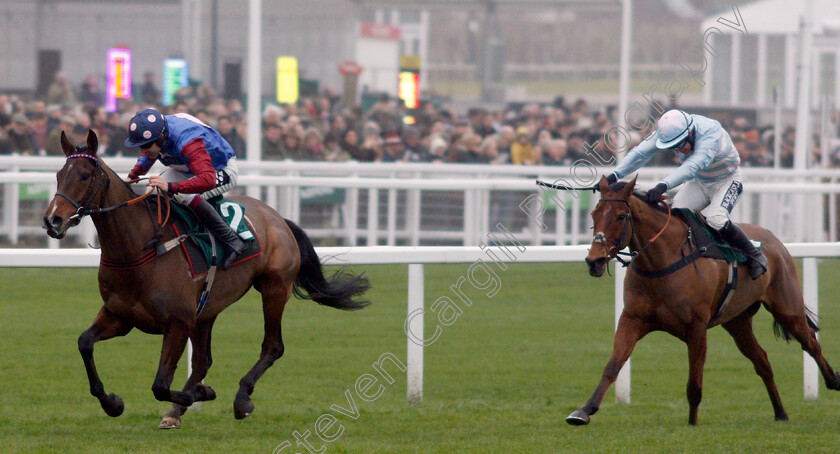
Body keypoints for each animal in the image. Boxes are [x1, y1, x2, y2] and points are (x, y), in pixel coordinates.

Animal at [44, 129, 370, 428]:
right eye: (59, 174)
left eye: (85, 175)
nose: (52, 220)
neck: (138, 248)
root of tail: (277, 217)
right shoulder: (120, 315)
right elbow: (85, 342)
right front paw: (112, 402)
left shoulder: (177, 322)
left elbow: (160, 385)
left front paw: (201, 394)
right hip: (207, 308)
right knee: (203, 360)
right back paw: (177, 412)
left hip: (274, 288)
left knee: (272, 347)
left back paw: (241, 399)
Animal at [568, 176, 836, 426]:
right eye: (594, 214)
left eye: (621, 216)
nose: (594, 260)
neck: (662, 262)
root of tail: (774, 240)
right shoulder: (632, 319)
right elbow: (613, 366)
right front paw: (583, 411)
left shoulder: (696, 327)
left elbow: (694, 383)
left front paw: (692, 424)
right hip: (737, 322)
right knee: (762, 361)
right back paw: (780, 413)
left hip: (787, 308)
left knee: (811, 344)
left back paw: (834, 380)